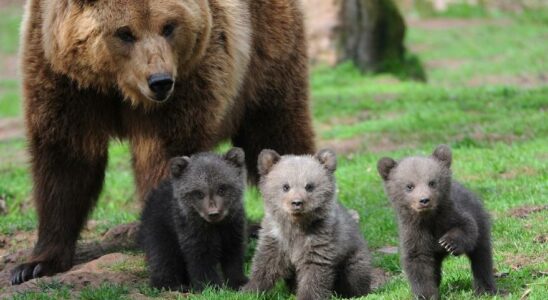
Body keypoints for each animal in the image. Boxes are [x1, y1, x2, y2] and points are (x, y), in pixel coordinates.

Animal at [10, 0, 314, 284]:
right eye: (125, 32)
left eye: (168, 26)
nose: (160, 81)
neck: (116, 86)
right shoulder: (64, 80)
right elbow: (65, 161)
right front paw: (34, 264)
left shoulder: (186, 83)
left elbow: (165, 157)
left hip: (265, 54)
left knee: (276, 129)